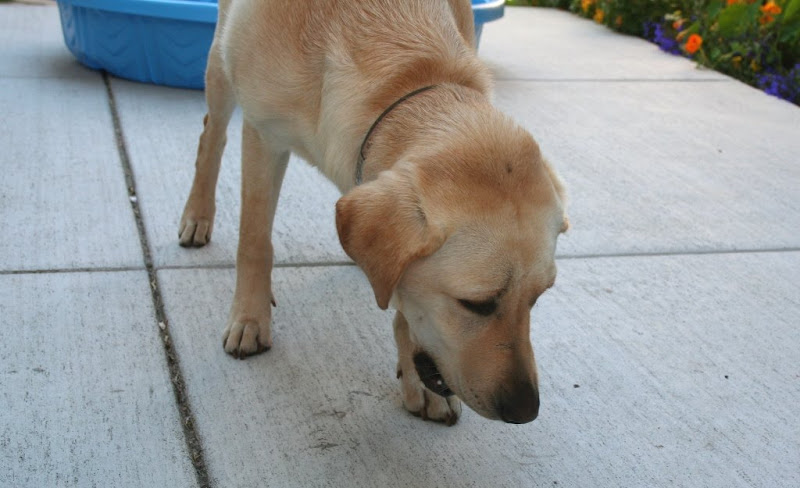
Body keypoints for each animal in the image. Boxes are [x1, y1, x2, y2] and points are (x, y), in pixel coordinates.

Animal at [181, 0, 568, 426]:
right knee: (211, 134)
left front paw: (415, 374)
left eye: (538, 297)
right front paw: (250, 317)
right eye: (476, 304)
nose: (526, 410)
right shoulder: (263, 134)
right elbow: (254, 241)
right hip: (220, 67)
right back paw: (197, 215)